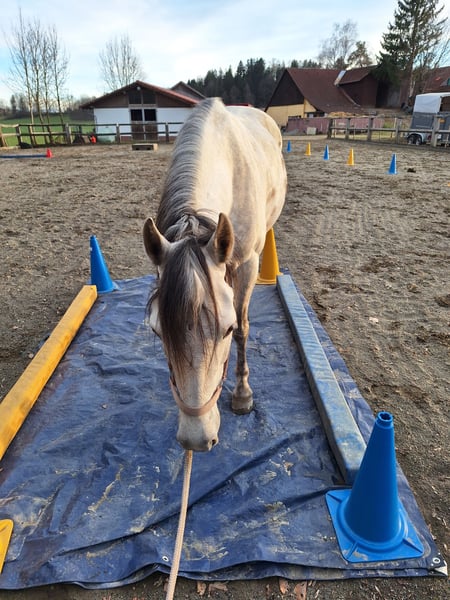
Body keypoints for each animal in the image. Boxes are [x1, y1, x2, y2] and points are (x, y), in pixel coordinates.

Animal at [143, 97, 286, 452]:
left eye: (226, 329)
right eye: (156, 331)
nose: (196, 440)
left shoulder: (247, 264)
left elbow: (245, 329)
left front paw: (242, 396)